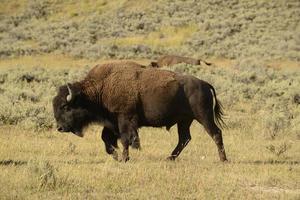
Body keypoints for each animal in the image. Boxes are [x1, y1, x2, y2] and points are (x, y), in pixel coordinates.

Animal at [53, 62, 227, 162]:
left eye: (66, 107)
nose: (60, 128)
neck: (100, 89)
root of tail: (205, 84)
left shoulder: (125, 119)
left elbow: (125, 140)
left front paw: (124, 158)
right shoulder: (111, 123)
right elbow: (106, 139)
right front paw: (115, 156)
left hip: (203, 117)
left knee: (215, 133)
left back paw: (223, 159)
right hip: (184, 121)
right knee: (185, 138)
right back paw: (169, 158)